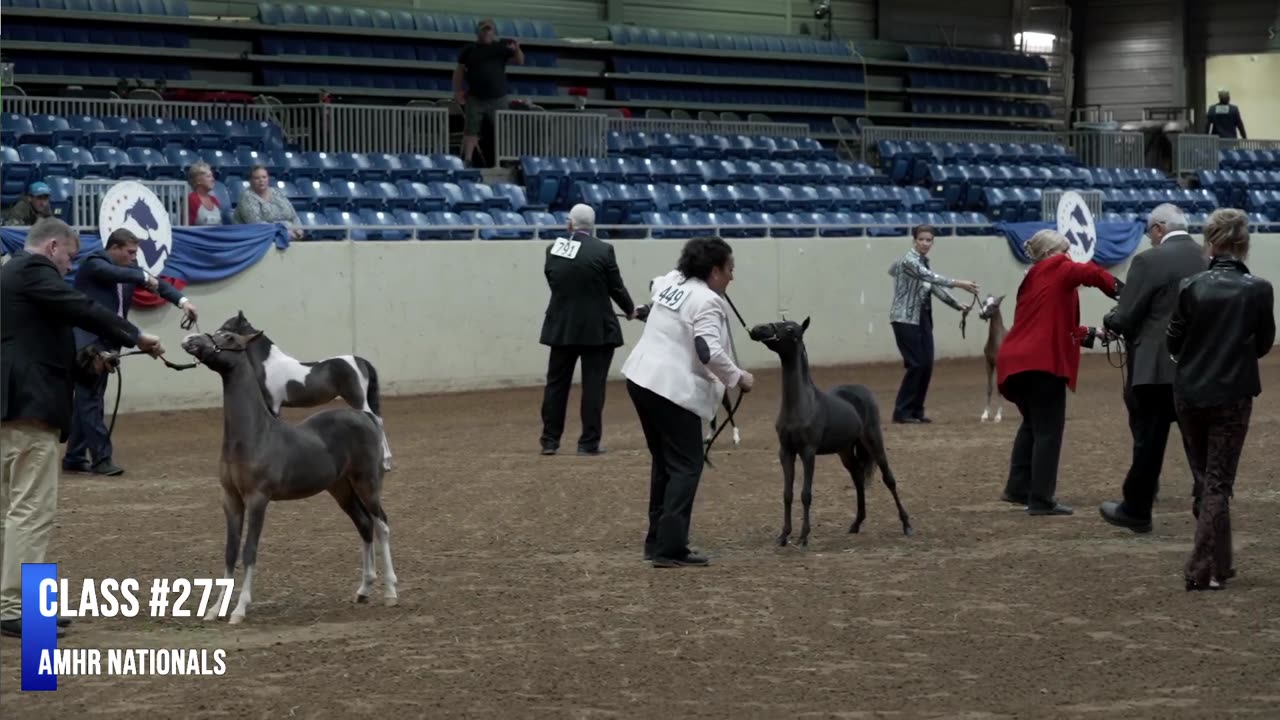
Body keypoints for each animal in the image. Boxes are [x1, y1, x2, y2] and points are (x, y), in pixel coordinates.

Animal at [180, 327, 396, 620]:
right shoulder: (231, 500)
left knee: (381, 525)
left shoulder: (257, 499)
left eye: (229, 337)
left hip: (367, 484)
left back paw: (391, 592)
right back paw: (363, 590)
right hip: (341, 489)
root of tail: (366, 419)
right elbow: (230, 551)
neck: (254, 435)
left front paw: (240, 608)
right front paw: (215, 608)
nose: (190, 340)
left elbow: (249, 550)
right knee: (364, 525)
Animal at [217, 310, 391, 471]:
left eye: (228, 328)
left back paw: (384, 461)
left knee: (375, 419)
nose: (213, 339)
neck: (268, 363)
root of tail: (360, 360)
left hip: (357, 398)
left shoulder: (273, 404)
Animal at [747, 315, 916, 543]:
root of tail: (862, 391)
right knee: (858, 478)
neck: (800, 405)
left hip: (873, 440)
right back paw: (856, 524)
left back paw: (906, 525)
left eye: (790, 329)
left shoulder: (808, 452)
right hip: (845, 451)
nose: (759, 329)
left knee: (889, 479)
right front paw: (783, 535)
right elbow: (787, 494)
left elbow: (805, 494)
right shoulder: (786, 452)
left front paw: (803, 537)